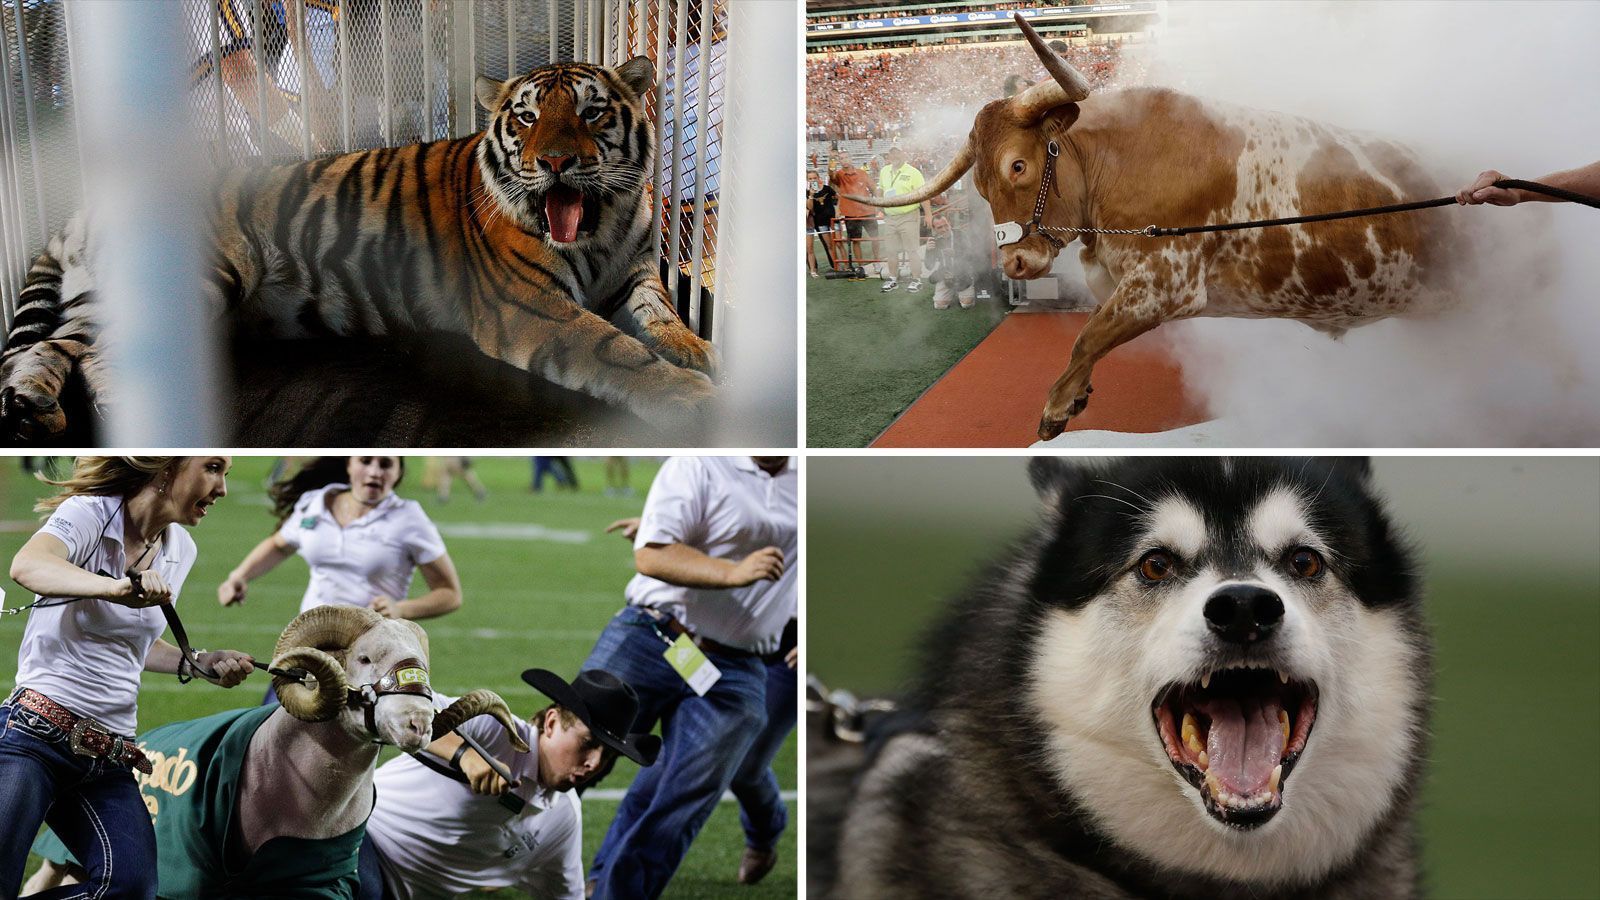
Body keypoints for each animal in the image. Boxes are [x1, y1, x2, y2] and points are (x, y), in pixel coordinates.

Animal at [0, 54, 713, 438]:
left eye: (592, 113)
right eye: (528, 117)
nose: (557, 163)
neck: (601, 225)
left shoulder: (634, 271)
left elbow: (659, 314)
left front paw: (698, 349)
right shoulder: (530, 308)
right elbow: (616, 350)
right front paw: (692, 398)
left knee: (52, 347)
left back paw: (40, 410)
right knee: (89, 352)